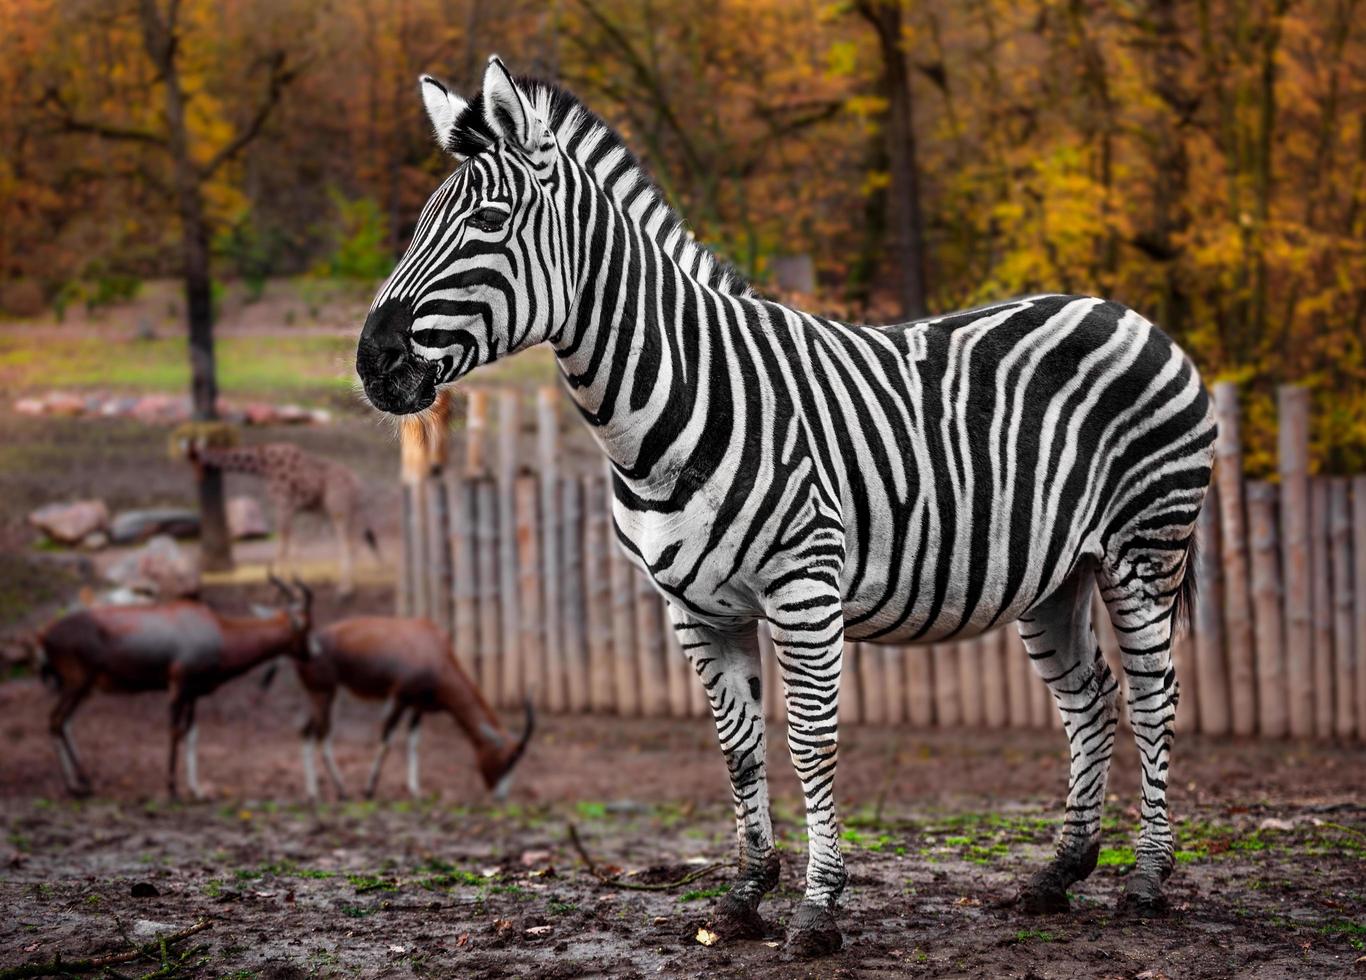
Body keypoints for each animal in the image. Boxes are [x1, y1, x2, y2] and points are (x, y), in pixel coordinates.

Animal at [41, 576, 312, 798]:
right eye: (307, 626)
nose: (311, 654)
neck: (216, 629)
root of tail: (45, 635)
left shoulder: (194, 694)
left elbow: (191, 734)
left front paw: (197, 790)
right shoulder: (178, 687)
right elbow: (174, 731)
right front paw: (172, 789)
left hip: (81, 688)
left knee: (64, 723)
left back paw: (78, 784)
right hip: (77, 684)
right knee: (56, 720)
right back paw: (78, 784)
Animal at [296, 615, 530, 798]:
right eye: (508, 760)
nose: (500, 796)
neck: (433, 649)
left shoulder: (418, 707)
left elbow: (414, 742)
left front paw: (415, 790)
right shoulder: (399, 700)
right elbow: (386, 741)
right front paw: (369, 790)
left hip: (324, 697)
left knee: (307, 732)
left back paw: (312, 791)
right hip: (325, 695)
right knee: (322, 735)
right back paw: (341, 791)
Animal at [352, 55, 1218, 956]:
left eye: (489, 221)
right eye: (419, 225)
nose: (373, 362)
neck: (672, 404)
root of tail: (1125, 311)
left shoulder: (803, 588)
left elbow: (809, 741)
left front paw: (818, 908)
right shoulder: (692, 606)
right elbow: (738, 748)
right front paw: (743, 897)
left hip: (1144, 548)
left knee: (1154, 695)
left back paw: (1147, 882)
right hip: (1056, 575)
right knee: (1090, 697)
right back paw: (1057, 876)